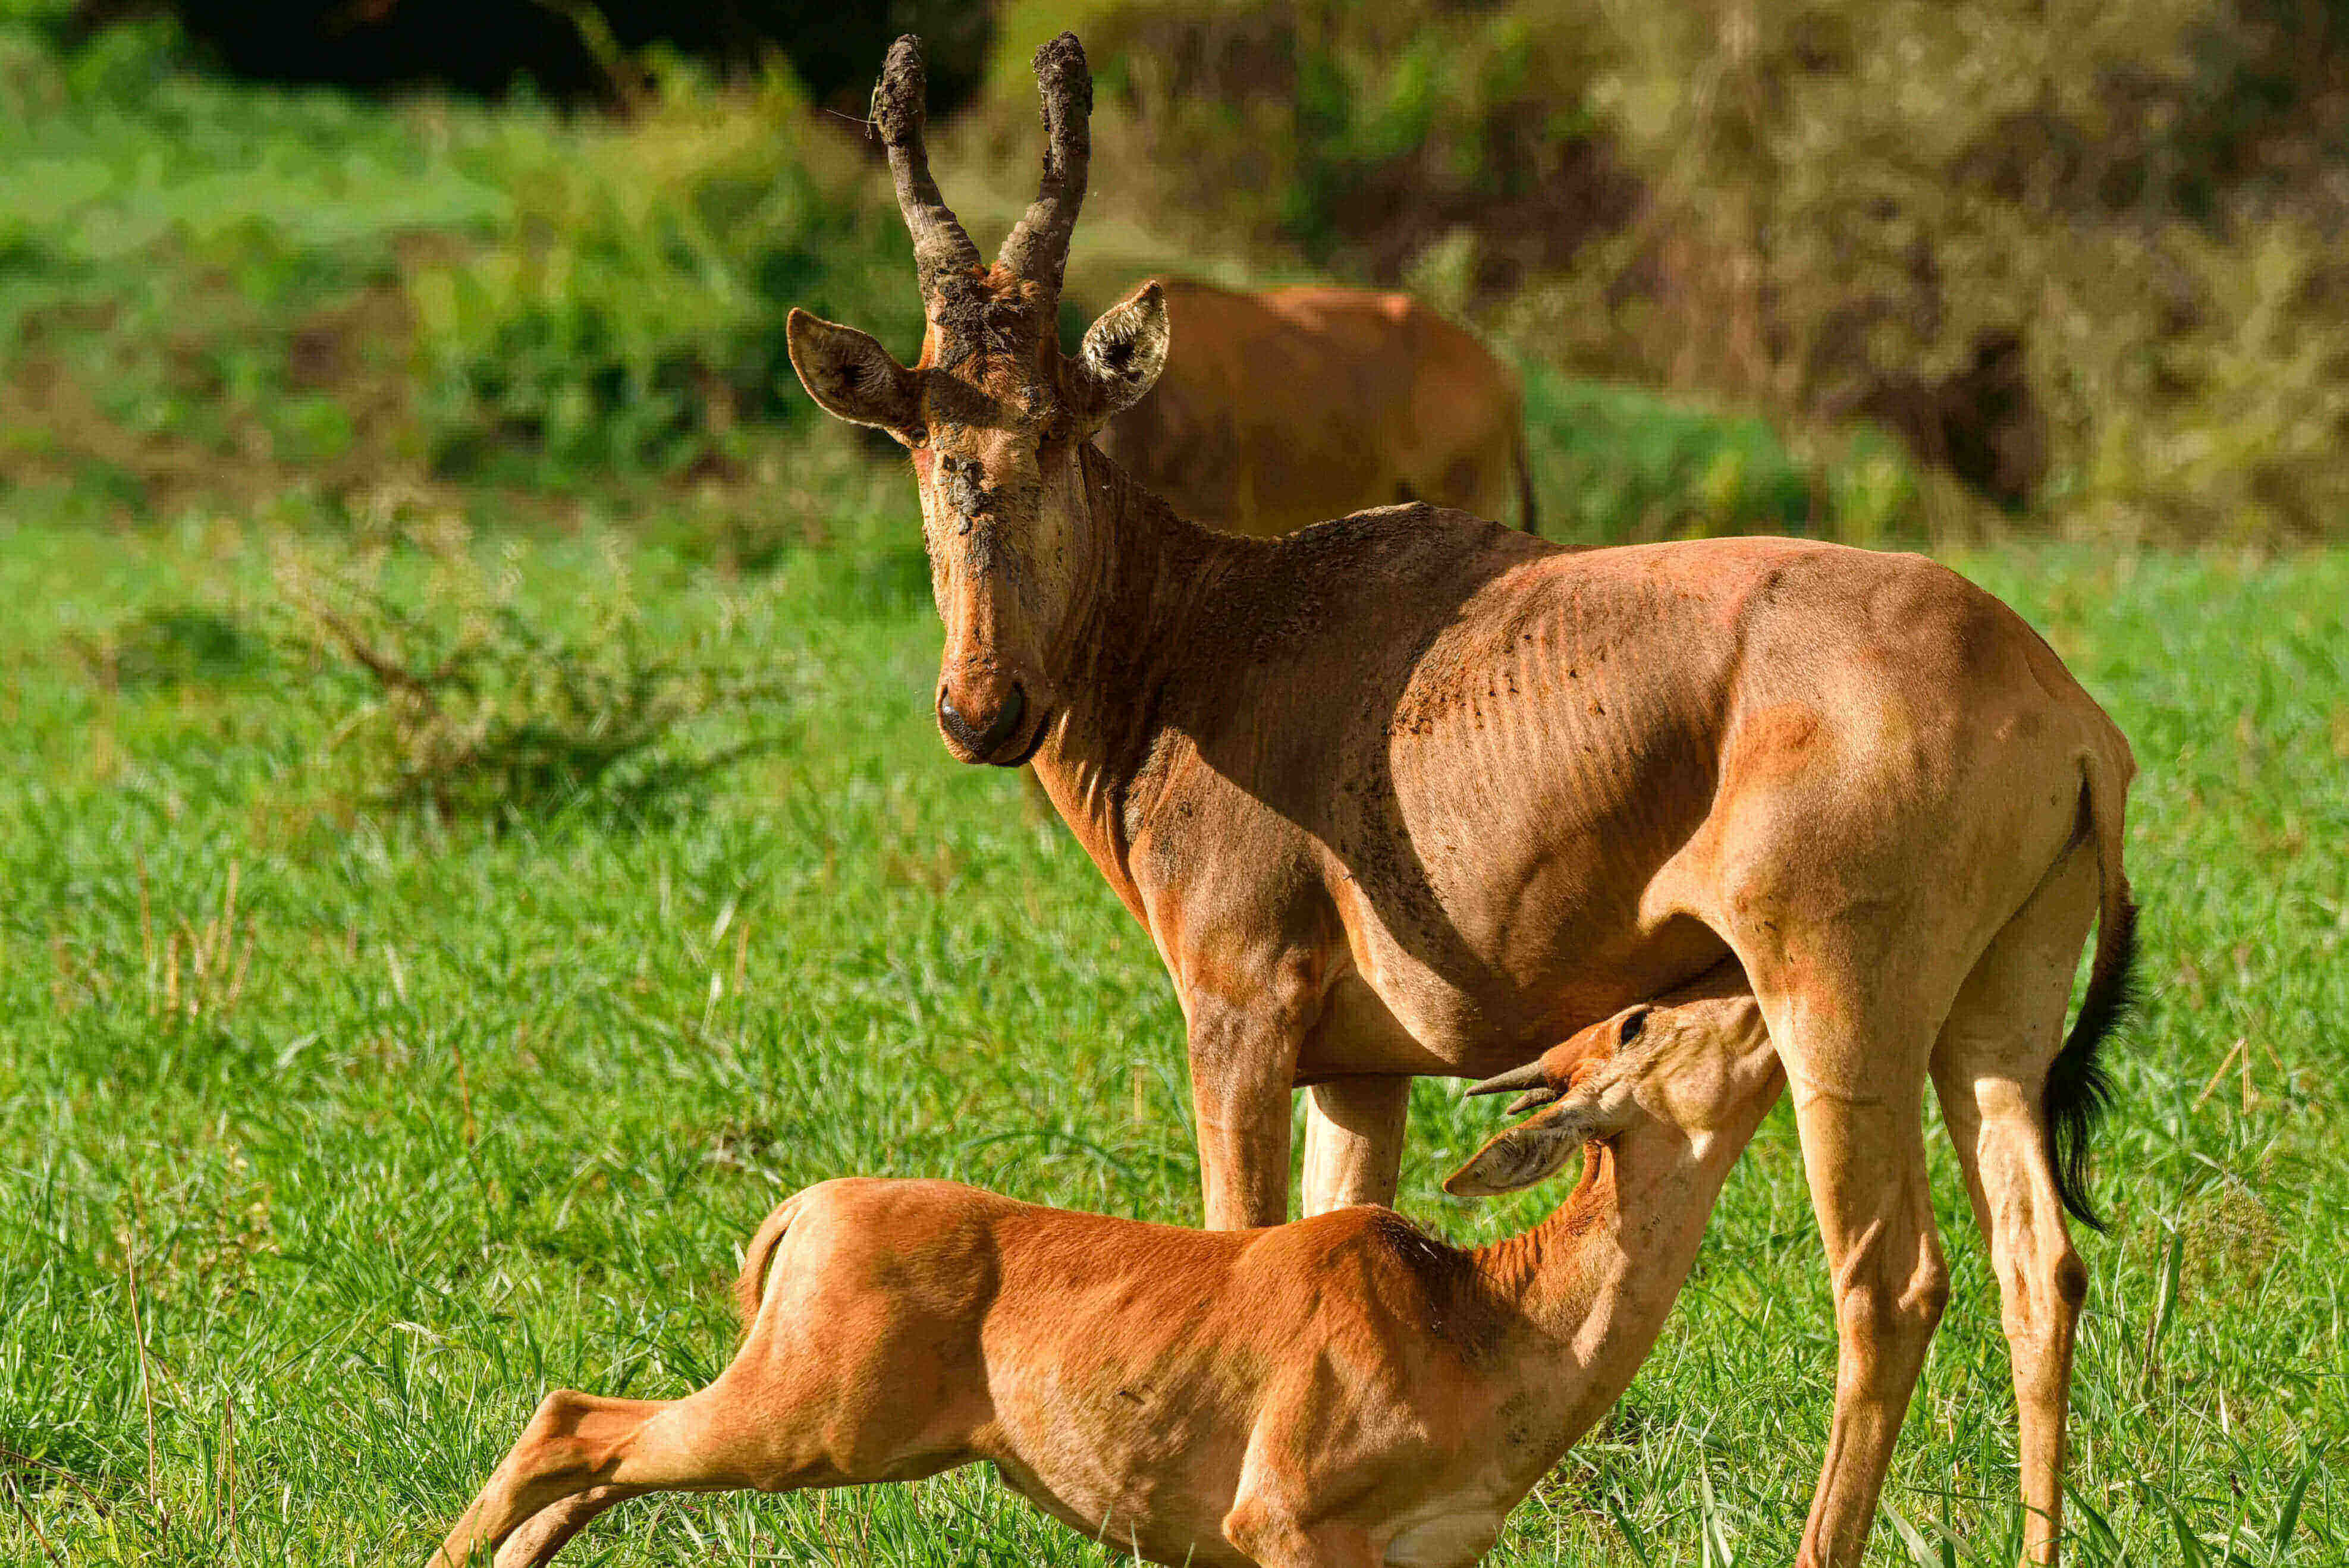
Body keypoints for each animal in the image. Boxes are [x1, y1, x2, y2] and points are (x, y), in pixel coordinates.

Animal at [432, 985, 1776, 1558]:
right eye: (1639, 1020)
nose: (1761, 992)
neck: (1480, 1313)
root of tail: (811, 1208)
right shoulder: (1280, 1517)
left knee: (599, 1452)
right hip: (809, 1417)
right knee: (572, 1417)